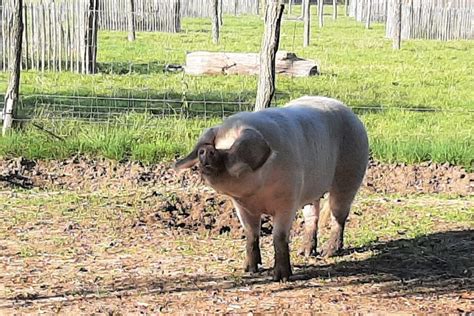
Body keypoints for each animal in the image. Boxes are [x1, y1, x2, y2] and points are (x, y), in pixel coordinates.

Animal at [174, 96, 370, 282]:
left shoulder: (288, 201)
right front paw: (249, 270)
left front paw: (281, 277)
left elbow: (279, 237)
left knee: (339, 216)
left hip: (350, 175)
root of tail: (349, 111)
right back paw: (305, 252)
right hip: (311, 189)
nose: (206, 150)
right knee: (312, 217)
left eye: (233, 149)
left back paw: (328, 252)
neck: (257, 194)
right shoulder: (242, 207)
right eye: (216, 144)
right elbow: (251, 234)